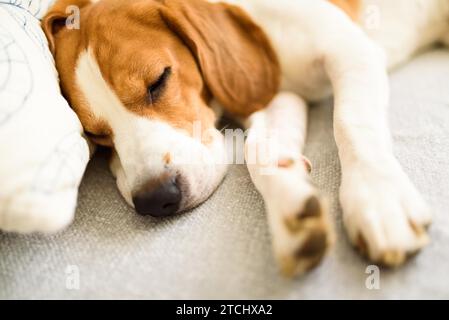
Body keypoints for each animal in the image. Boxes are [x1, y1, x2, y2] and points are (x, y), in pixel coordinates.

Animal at [41, 0, 444, 276]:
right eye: (96, 135)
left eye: (158, 81)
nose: (155, 199)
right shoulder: (277, 96)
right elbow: (258, 151)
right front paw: (292, 209)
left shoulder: (351, 51)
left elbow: (351, 122)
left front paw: (378, 198)